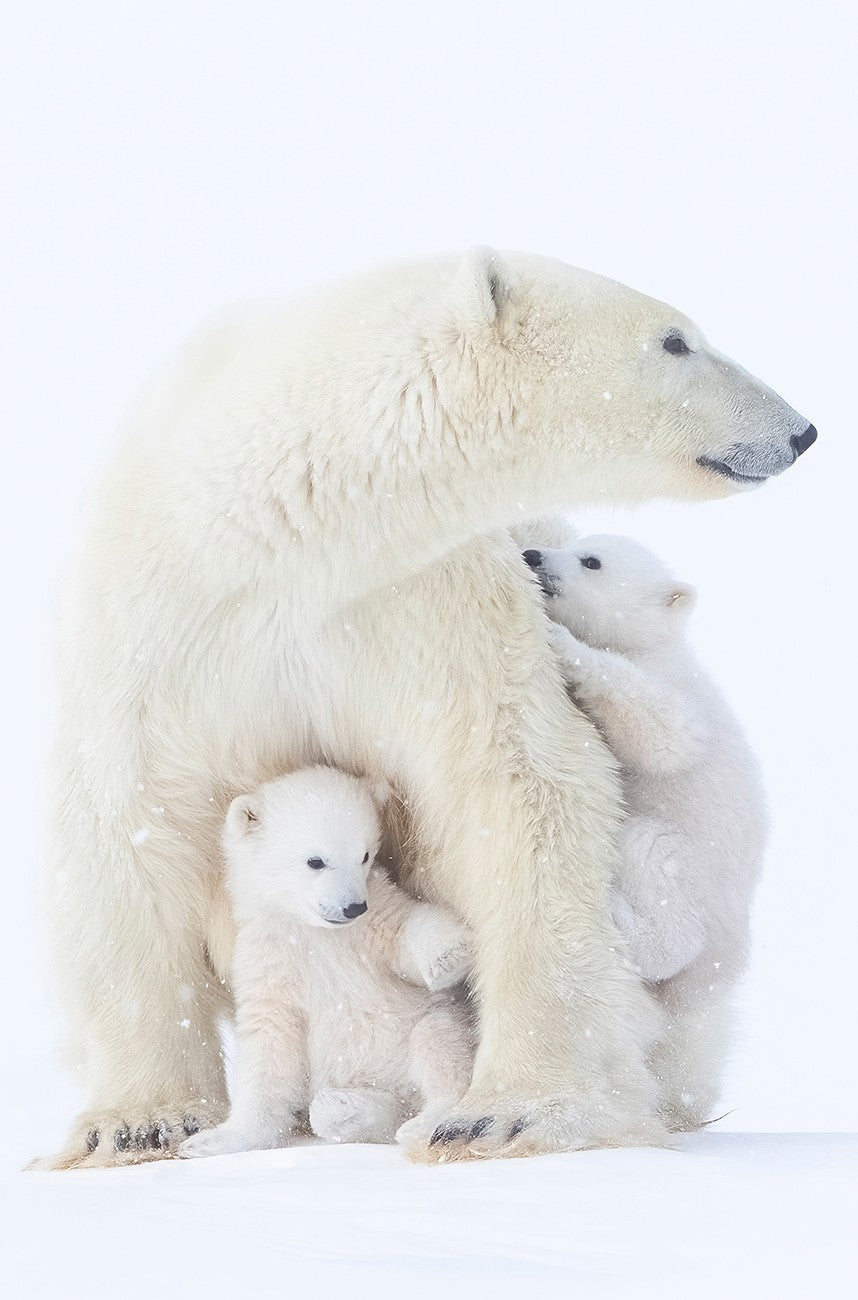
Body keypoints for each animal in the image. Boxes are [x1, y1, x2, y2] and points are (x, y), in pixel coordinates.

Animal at [178, 767, 474, 1159]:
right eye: (316, 860)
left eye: (365, 855)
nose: (353, 907)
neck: (313, 931)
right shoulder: (267, 959)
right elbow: (268, 1043)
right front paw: (209, 1141)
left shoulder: (373, 920)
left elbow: (404, 928)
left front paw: (450, 955)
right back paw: (347, 1108)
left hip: (428, 1021)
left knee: (440, 1044)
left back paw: (423, 1121)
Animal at [522, 534, 768, 1130]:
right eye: (574, 541)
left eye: (591, 560)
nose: (533, 555)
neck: (658, 645)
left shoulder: (681, 698)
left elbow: (663, 732)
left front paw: (562, 642)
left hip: (696, 868)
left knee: (655, 870)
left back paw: (620, 915)